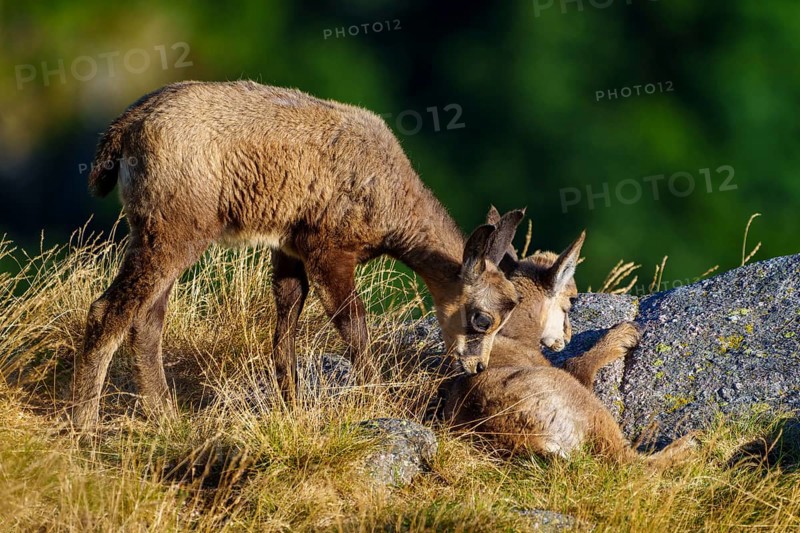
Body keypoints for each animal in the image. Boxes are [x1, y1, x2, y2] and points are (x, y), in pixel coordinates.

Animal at [73, 80, 525, 431]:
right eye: (482, 319)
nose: (477, 368)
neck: (389, 195)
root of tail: (128, 127)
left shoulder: (289, 248)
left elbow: (285, 323)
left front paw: (292, 404)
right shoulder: (328, 251)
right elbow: (354, 327)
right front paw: (375, 400)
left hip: (166, 233)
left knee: (147, 319)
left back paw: (164, 416)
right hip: (174, 228)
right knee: (109, 311)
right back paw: (83, 425)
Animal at [440, 222, 697, 468]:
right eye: (572, 299)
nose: (568, 337)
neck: (513, 334)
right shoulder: (574, 375)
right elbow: (578, 362)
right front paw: (624, 334)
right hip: (586, 406)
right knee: (629, 464)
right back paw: (691, 443)